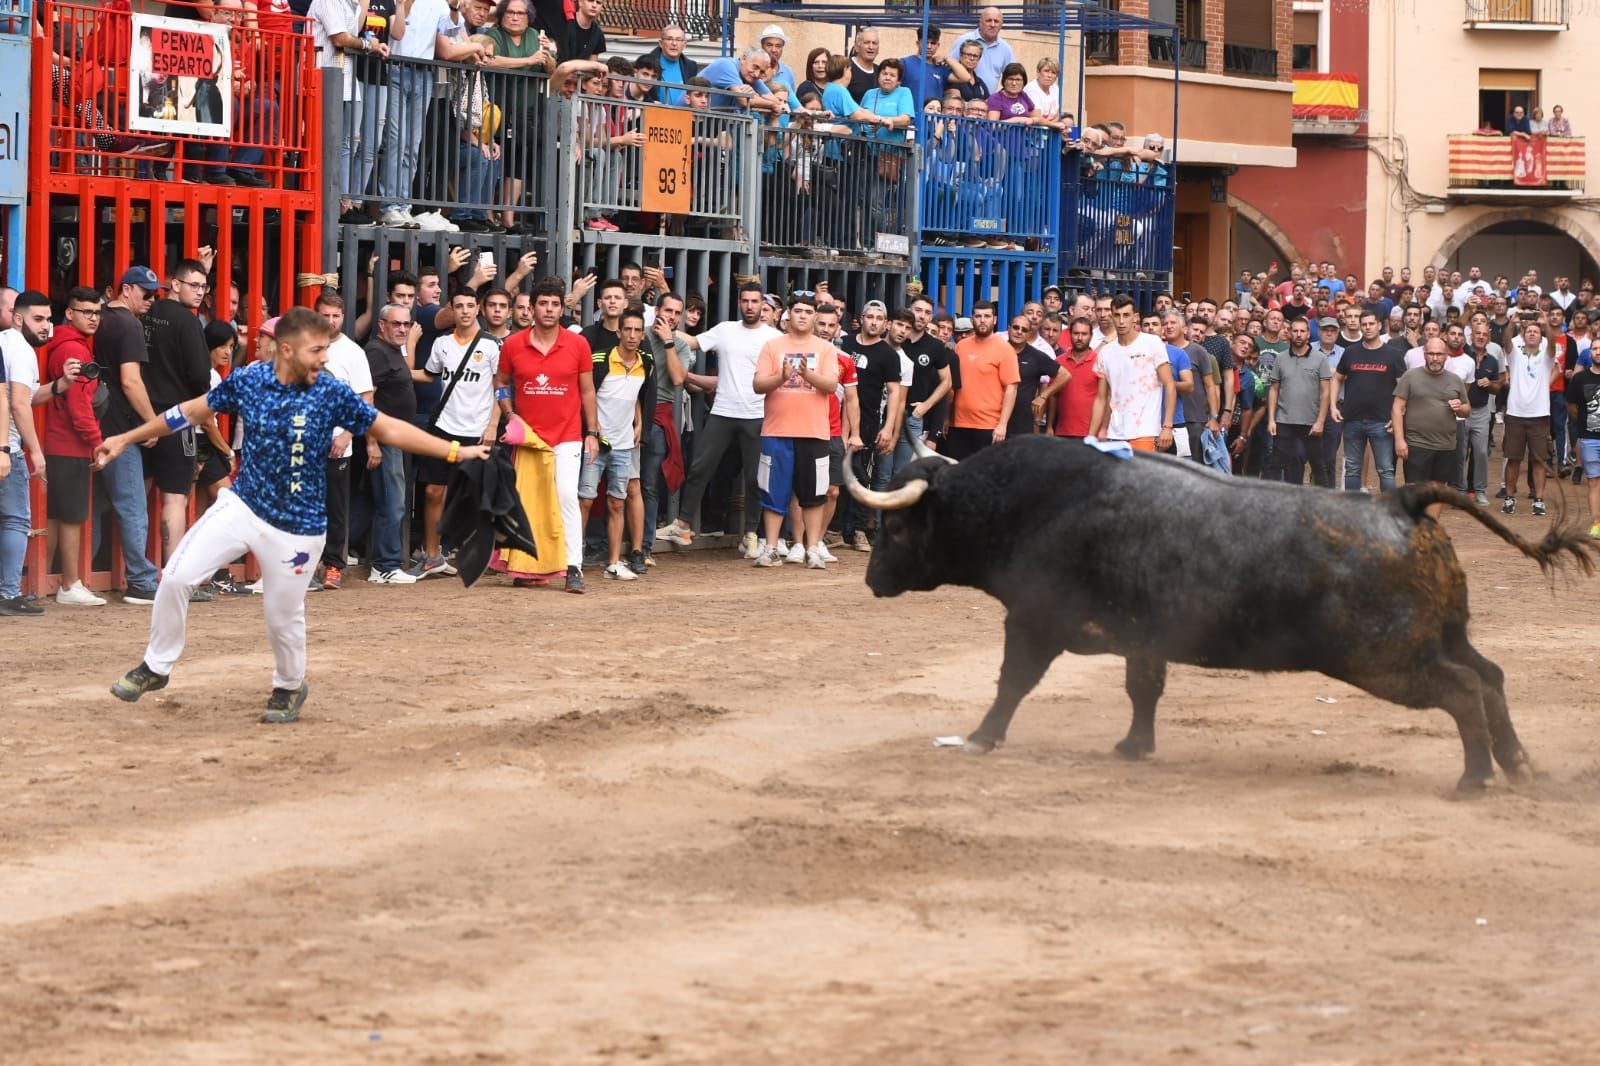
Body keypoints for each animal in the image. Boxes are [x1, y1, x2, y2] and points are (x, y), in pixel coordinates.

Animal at [844, 432, 1593, 787]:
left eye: (899, 526)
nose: (873, 579)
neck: (1025, 503)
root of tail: (1401, 500)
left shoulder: (1033, 621)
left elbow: (1012, 684)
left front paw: (980, 737)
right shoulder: (1142, 635)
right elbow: (1143, 688)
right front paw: (1134, 747)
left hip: (1387, 660)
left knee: (1463, 689)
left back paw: (1474, 778)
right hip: (1443, 636)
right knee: (1489, 677)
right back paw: (1517, 765)